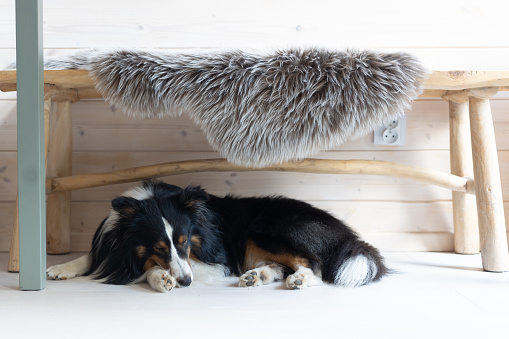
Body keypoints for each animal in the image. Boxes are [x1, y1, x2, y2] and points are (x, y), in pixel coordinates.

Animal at [48, 181, 388, 292]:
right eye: (159, 245)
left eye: (184, 242)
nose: (186, 283)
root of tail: (344, 233)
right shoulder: (113, 243)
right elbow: (91, 256)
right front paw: (58, 268)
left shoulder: (217, 263)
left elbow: (150, 270)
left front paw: (162, 279)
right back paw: (257, 276)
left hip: (261, 230)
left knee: (312, 262)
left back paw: (299, 280)